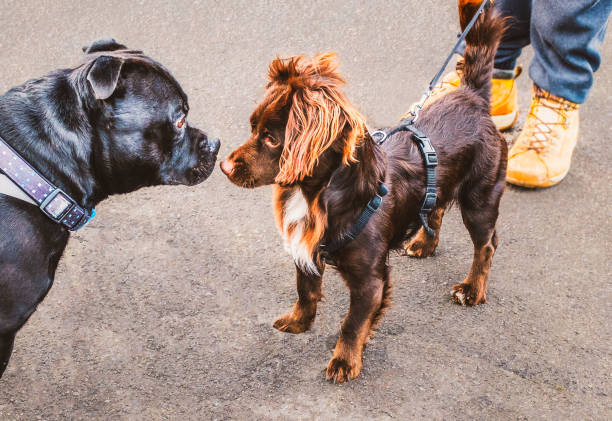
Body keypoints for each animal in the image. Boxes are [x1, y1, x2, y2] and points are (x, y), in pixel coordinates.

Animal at [220, 1, 506, 380]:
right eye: (253, 128)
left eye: (270, 139)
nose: (223, 166)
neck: (317, 194)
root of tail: (473, 96)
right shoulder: (306, 248)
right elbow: (305, 290)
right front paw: (299, 323)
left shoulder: (371, 280)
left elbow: (353, 323)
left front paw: (345, 361)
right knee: (437, 206)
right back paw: (423, 243)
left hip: (479, 198)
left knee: (485, 245)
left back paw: (472, 289)